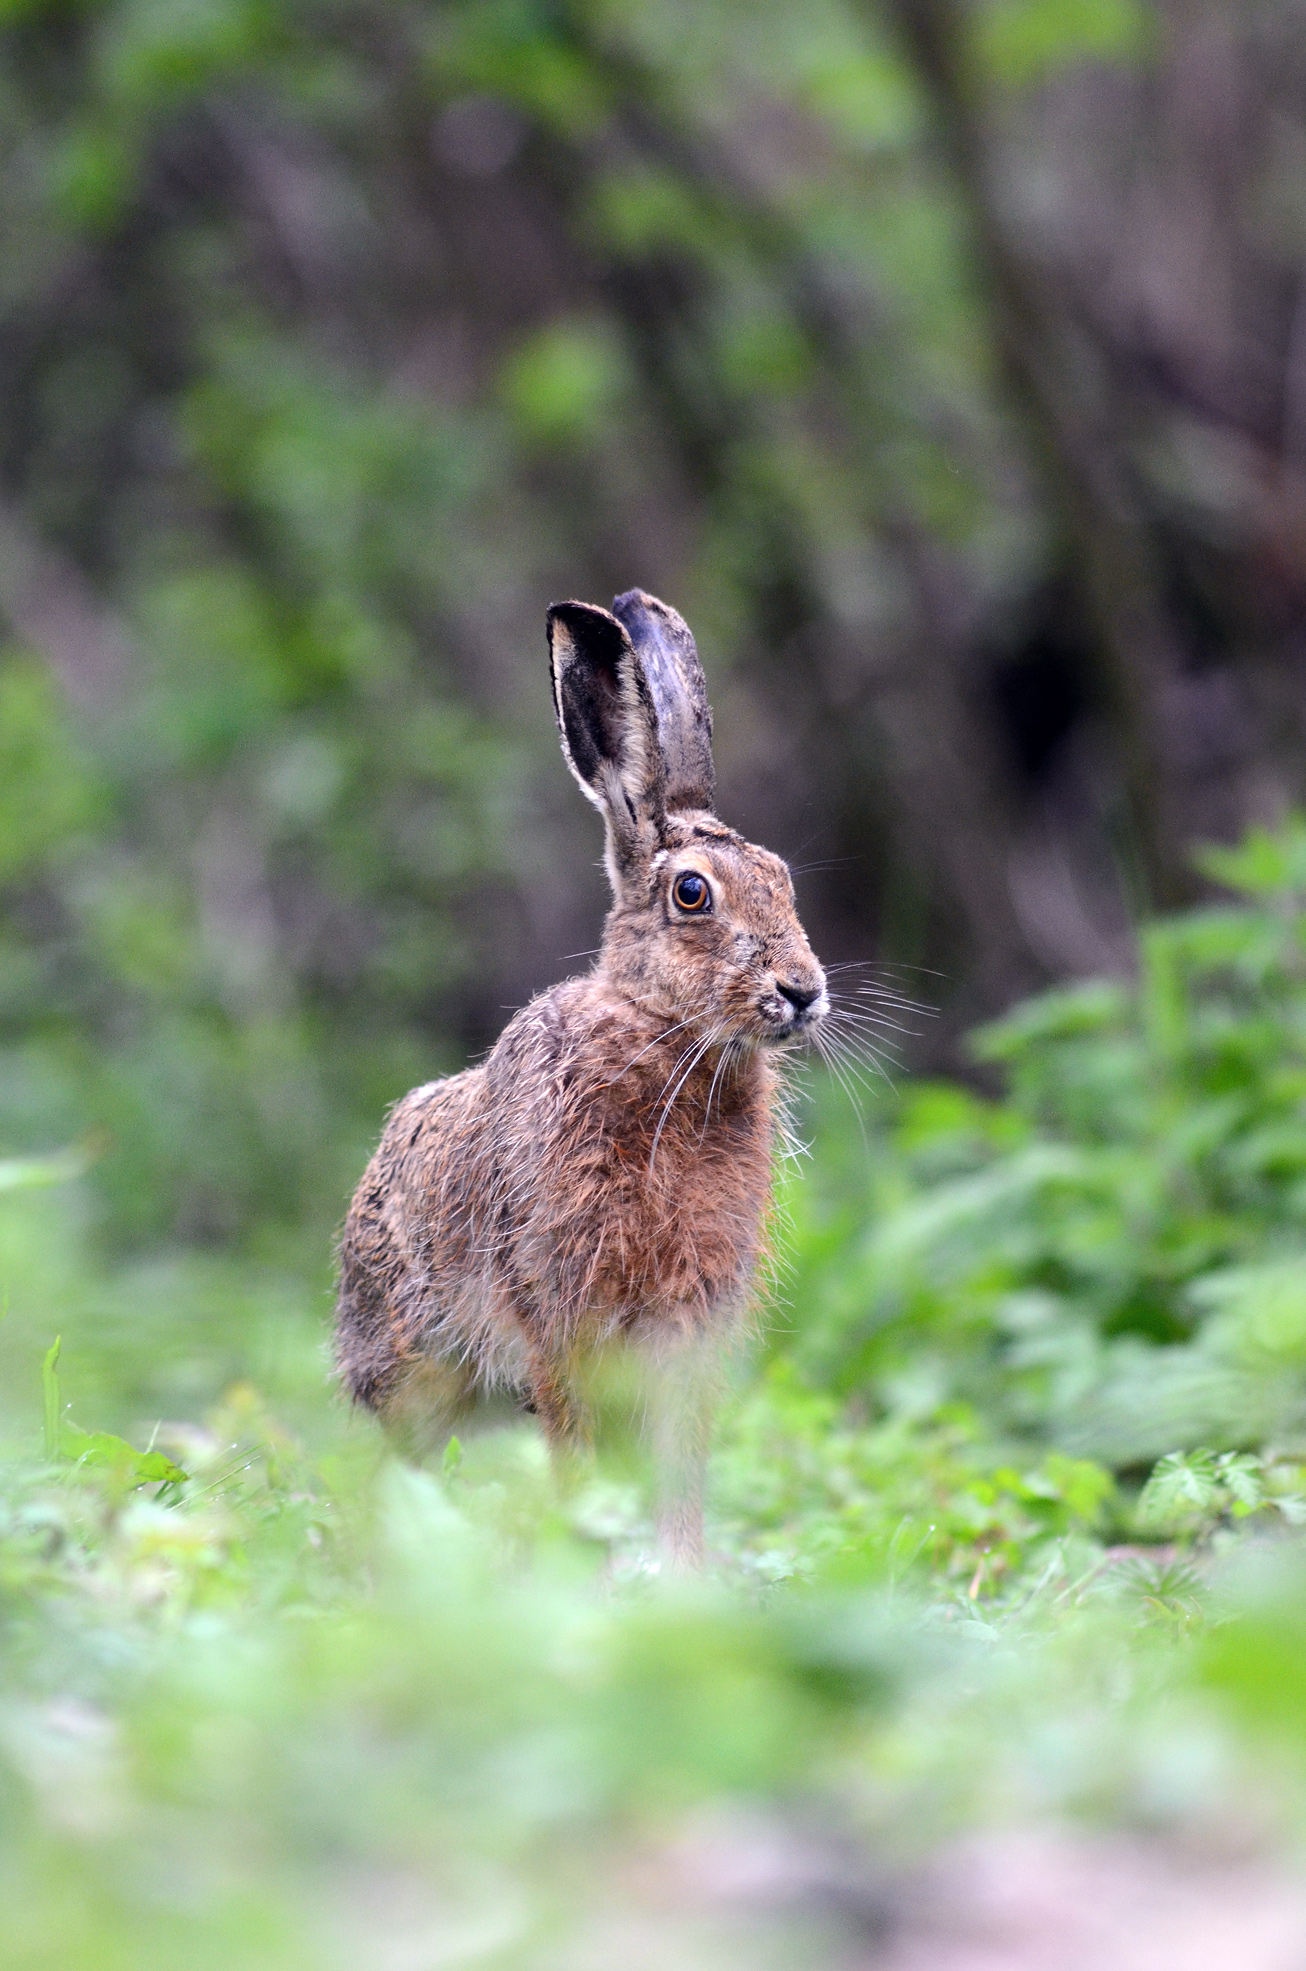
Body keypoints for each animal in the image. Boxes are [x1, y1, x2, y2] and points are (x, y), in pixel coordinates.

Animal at [334, 589, 827, 1565]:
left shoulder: (689, 1326)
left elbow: (680, 1465)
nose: (803, 991)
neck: (664, 1037)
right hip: (416, 1363)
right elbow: (576, 1446)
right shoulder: (558, 1306)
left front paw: (680, 1570)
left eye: (785, 880)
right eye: (691, 894)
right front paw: (585, 1567)